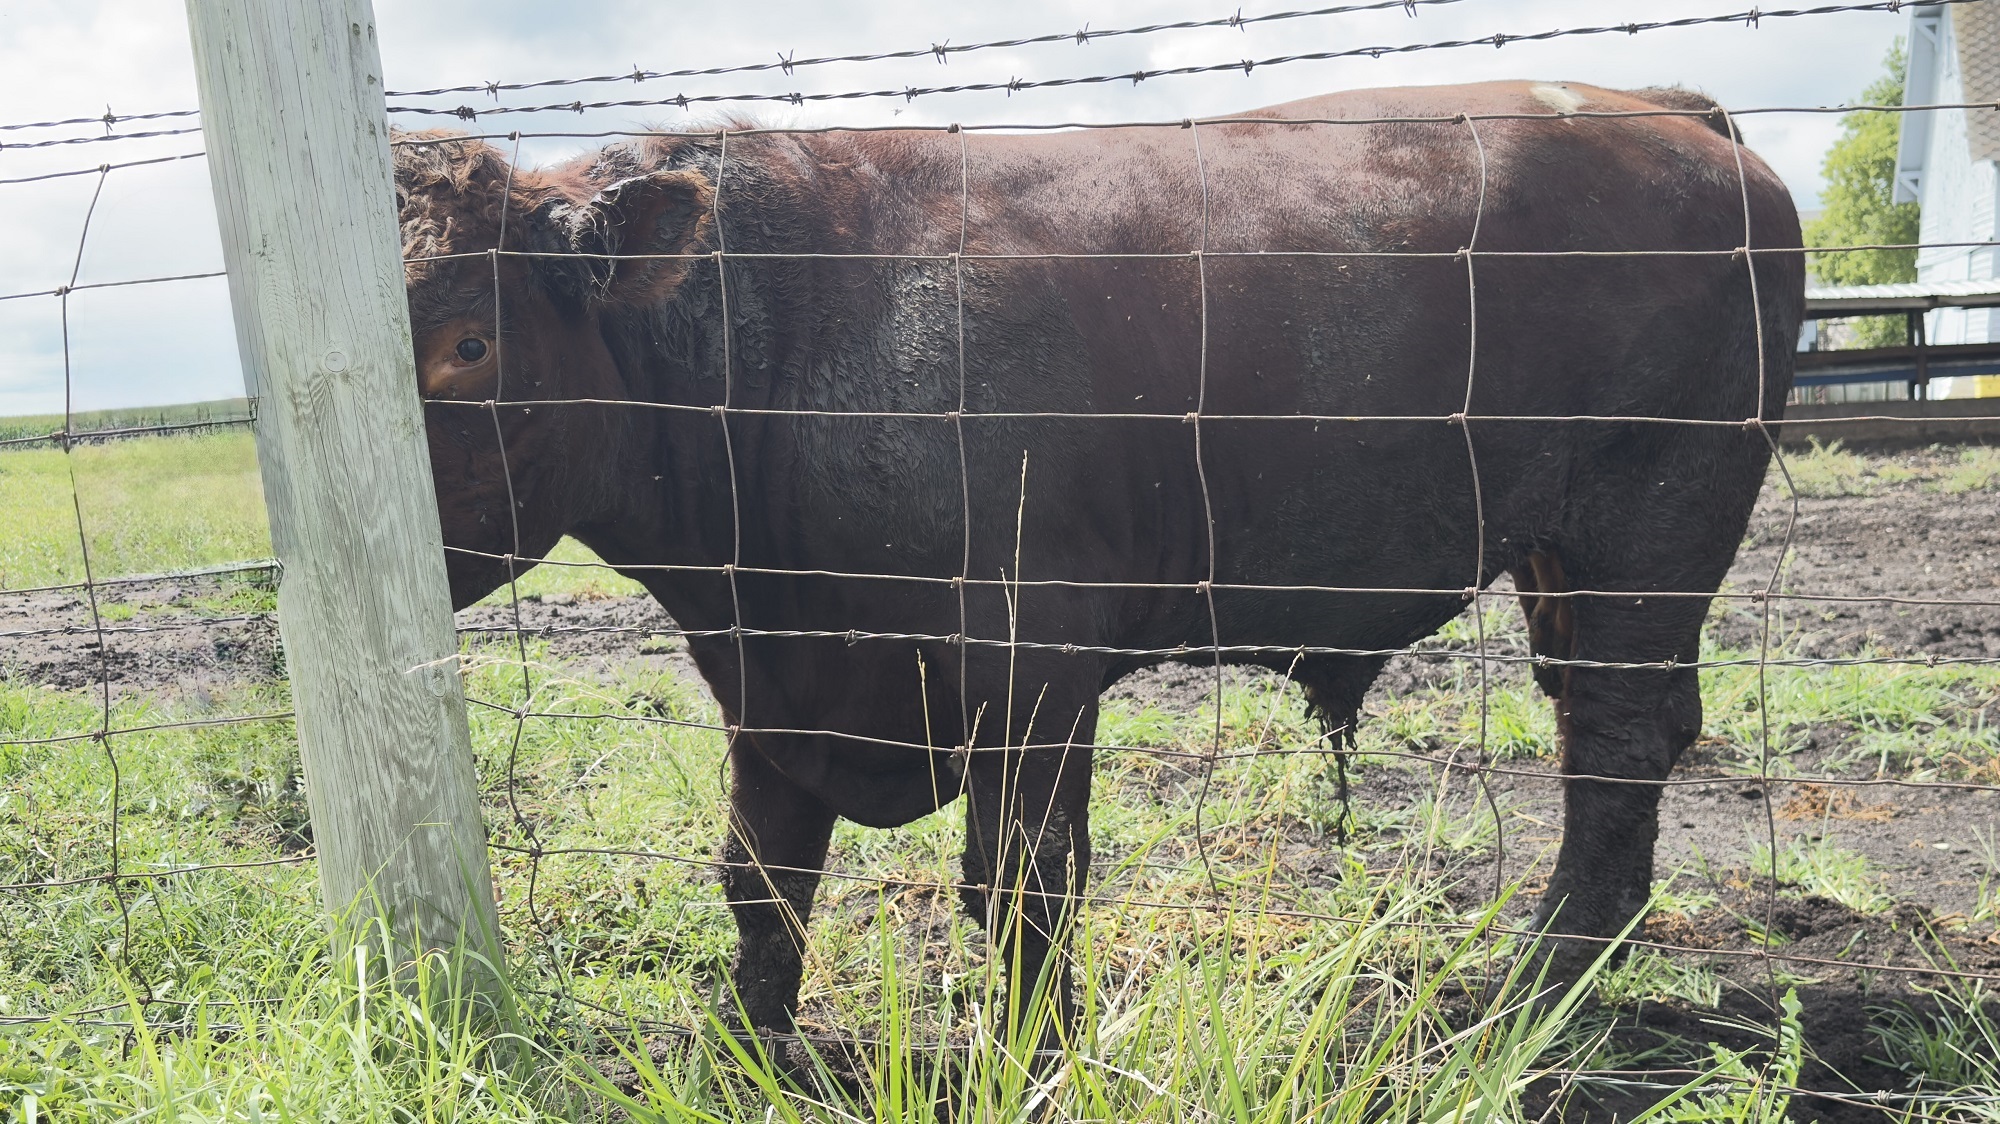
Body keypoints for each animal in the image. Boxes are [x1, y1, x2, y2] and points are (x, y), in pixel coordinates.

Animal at [393, 80, 1802, 1053]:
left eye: (470, 342)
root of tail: (1666, 115)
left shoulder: (1030, 669)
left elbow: (1018, 888)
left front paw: (1033, 1057)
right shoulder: (772, 679)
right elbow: (762, 881)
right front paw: (750, 1053)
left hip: (1649, 530)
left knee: (1614, 750)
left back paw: (1525, 998)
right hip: (1565, 560)